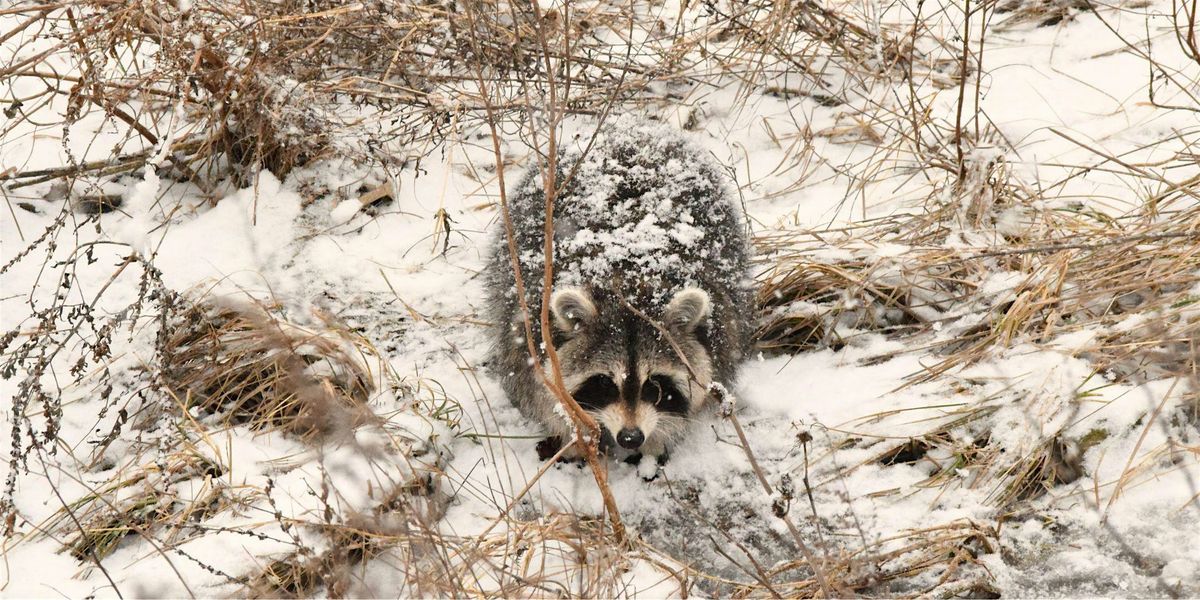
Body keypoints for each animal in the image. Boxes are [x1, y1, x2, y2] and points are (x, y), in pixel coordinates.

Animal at [480, 117, 744, 463]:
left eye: (655, 386)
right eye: (605, 383)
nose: (630, 437)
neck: (626, 279)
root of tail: (630, 126)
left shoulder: (722, 326)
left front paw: (656, 441)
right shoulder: (527, 325)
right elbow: (540, 387)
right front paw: (575, 435)